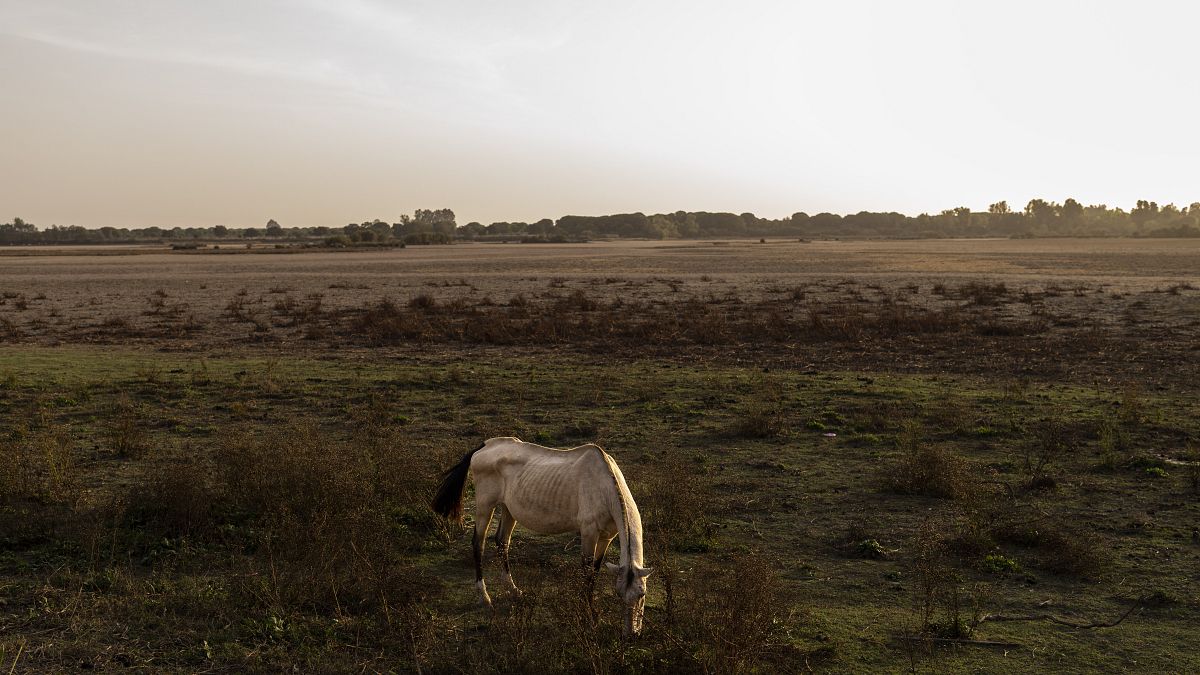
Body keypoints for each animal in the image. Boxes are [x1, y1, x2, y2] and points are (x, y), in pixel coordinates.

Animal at [434, 432, 652, 634]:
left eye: (641, 594)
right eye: (619, 594)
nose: (631, 633)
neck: (604, 485)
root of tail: (486, 445)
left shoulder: (606, 537)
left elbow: (595, 572)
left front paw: (593, 612)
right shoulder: (589, 533)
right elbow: (586, 572)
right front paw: (589, 615)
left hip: (508, 509)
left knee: (502, 542)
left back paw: (514, 590)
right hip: (484, 507)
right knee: (478, 544)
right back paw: (484, 597)